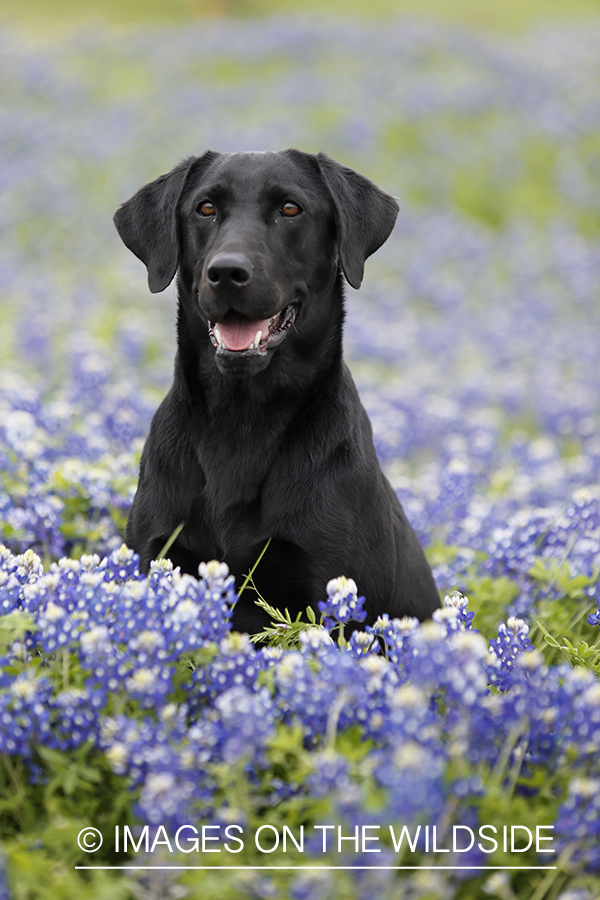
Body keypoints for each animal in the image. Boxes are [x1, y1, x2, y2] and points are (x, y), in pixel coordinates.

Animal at [113, 149, 440, 632]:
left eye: (290, 208)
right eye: (205, 208)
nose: (227, 271)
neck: (243, 420)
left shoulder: (333, 590)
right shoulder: (161, 554)